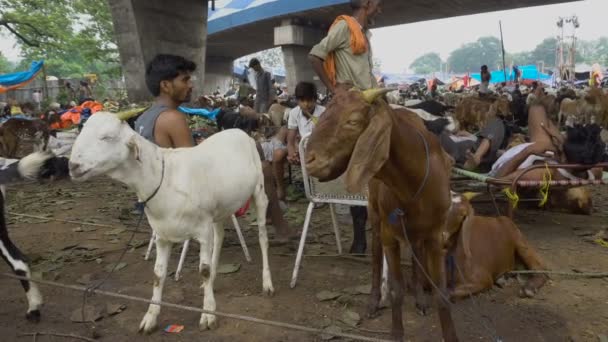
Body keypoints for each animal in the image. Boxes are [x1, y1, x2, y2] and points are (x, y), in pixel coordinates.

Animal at [68, 113, 274, 334]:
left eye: (107, 137)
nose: (72, 166)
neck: (164, 177)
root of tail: (239, 131)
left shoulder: (203, 231)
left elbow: (203, 270)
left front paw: (208, 314)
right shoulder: (161, 235)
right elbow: (158, 274)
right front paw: (150, 317)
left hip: (259, 192)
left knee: (263, 238)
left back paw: (267, 283)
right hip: (219, 208)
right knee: (220, 235)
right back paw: (213, 281)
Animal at [306, 88, 458, 342]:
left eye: (353, 121)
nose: (309, 161)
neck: (414, 179)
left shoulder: (436, 235)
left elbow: (442, 295)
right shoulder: (390, 235)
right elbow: (396, 290)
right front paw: (396, 333)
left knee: (415, 252)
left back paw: (419, 297)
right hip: (377, 217)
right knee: (377, 256)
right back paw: (374, 301)